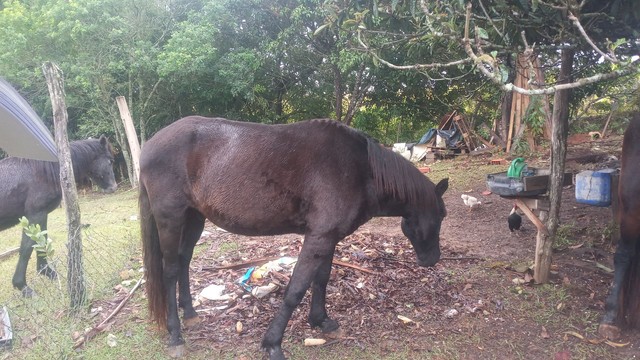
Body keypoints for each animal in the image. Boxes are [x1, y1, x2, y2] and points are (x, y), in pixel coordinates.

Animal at [0, 136, 117, 296]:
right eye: (110, 161)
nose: (114, 187)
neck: (44, 171)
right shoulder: (35, 214)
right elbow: (27, 247)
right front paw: (22, 286)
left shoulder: (41, 215)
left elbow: (41, 240)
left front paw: (48, 273)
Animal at [140, 116, 450, 358]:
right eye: (442, 215)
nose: (432, 259)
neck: (361, 170)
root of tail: (149, 145)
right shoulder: (318, 238)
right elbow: (295, 290)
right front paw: (272, 344)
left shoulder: (328, 238)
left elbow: (321, 280)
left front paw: (321, 321)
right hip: (170, 218)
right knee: (170, 270)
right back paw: (175, 335)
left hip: (194, 217)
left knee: (183, 261)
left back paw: (190, 315)